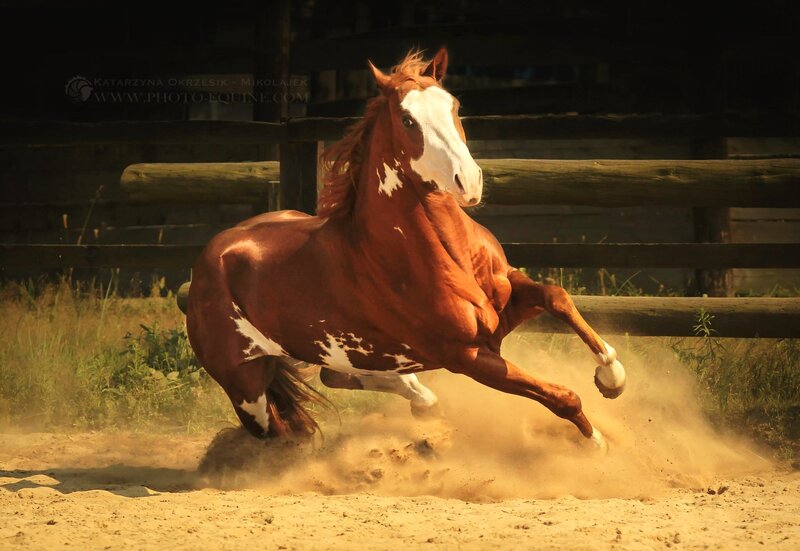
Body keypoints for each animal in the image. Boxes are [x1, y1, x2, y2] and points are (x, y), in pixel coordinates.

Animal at [186, 48, 626, 450]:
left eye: (454, 105)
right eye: (408, 120)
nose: (468, 182)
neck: (441, 255)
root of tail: (209, 258)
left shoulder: (507, 302)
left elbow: (557, 297)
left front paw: (612, 377)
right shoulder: (466, 356)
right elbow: (562, 397)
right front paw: (596, 444)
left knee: (338, 375)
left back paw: (422, 398)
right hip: (249, 391)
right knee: (281, 433)